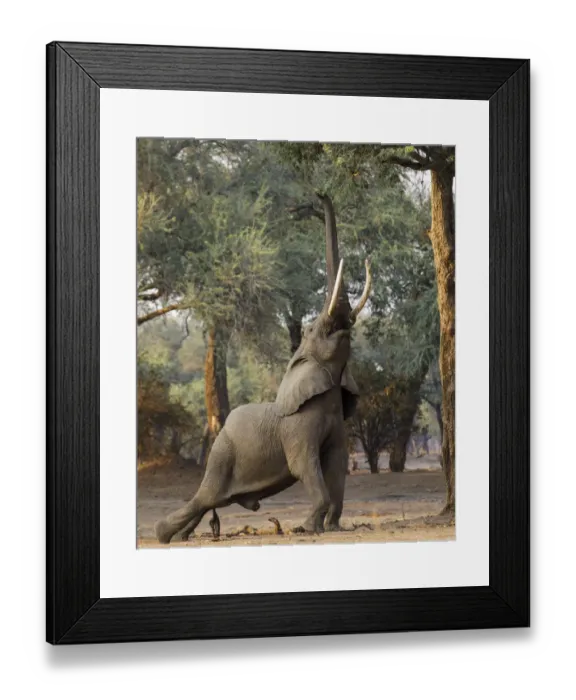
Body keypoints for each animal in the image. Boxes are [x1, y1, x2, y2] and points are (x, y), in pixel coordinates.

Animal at [154, 198, 371, 544]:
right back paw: (164, 535)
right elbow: (305, 467)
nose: (320, 193)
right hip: (221, 453)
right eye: (314, 329)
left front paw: (333, 528)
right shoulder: (298, 427)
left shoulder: (338, 423)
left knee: (210, 501)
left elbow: (336, 466)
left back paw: (180, 537)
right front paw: (305, 528)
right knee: (204, 497)